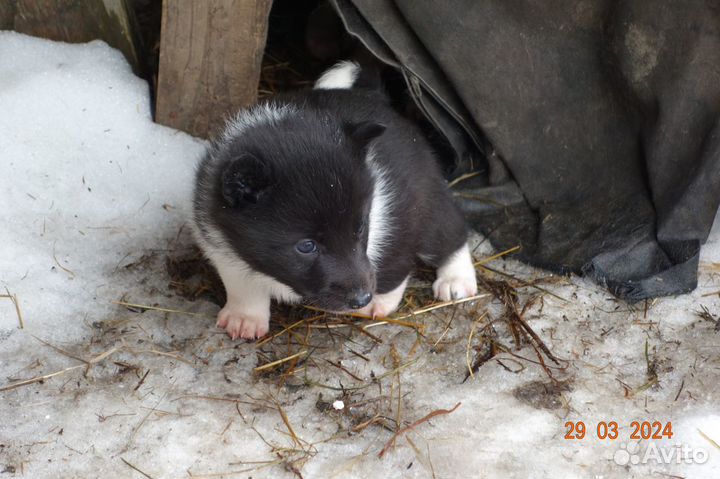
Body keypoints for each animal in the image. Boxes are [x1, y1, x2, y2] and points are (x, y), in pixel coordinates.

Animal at [191, 62, 478, 340]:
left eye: (360, 228)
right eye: (306, 246)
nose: (362, 298)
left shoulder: (398, 220)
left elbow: (393, 267)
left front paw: (379, 302)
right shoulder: (220, 241)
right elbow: (242, 283)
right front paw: (245, 318)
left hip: (430, 199)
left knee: (451, 233)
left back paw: (456, 279)